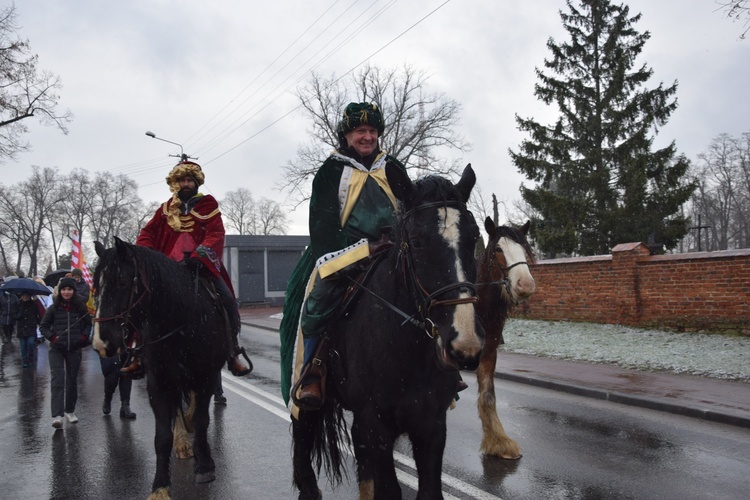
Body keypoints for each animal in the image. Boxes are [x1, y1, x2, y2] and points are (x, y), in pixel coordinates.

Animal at [92, 239, 226, 500]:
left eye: (122, 282)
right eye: (96, 286)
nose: (102, 343)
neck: (179, 320)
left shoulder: (206, 377)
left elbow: (202, 419)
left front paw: (205, 465)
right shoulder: (159, 382)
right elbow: (162, 436)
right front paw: (160, 487)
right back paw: (182, 441)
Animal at [294, 165, 488, 500]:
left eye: (474, 237)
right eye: (418, 242)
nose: (465, 346)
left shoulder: (431, 424)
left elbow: (428, 491)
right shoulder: (375, 424)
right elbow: (390, 489)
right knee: (302, 431)